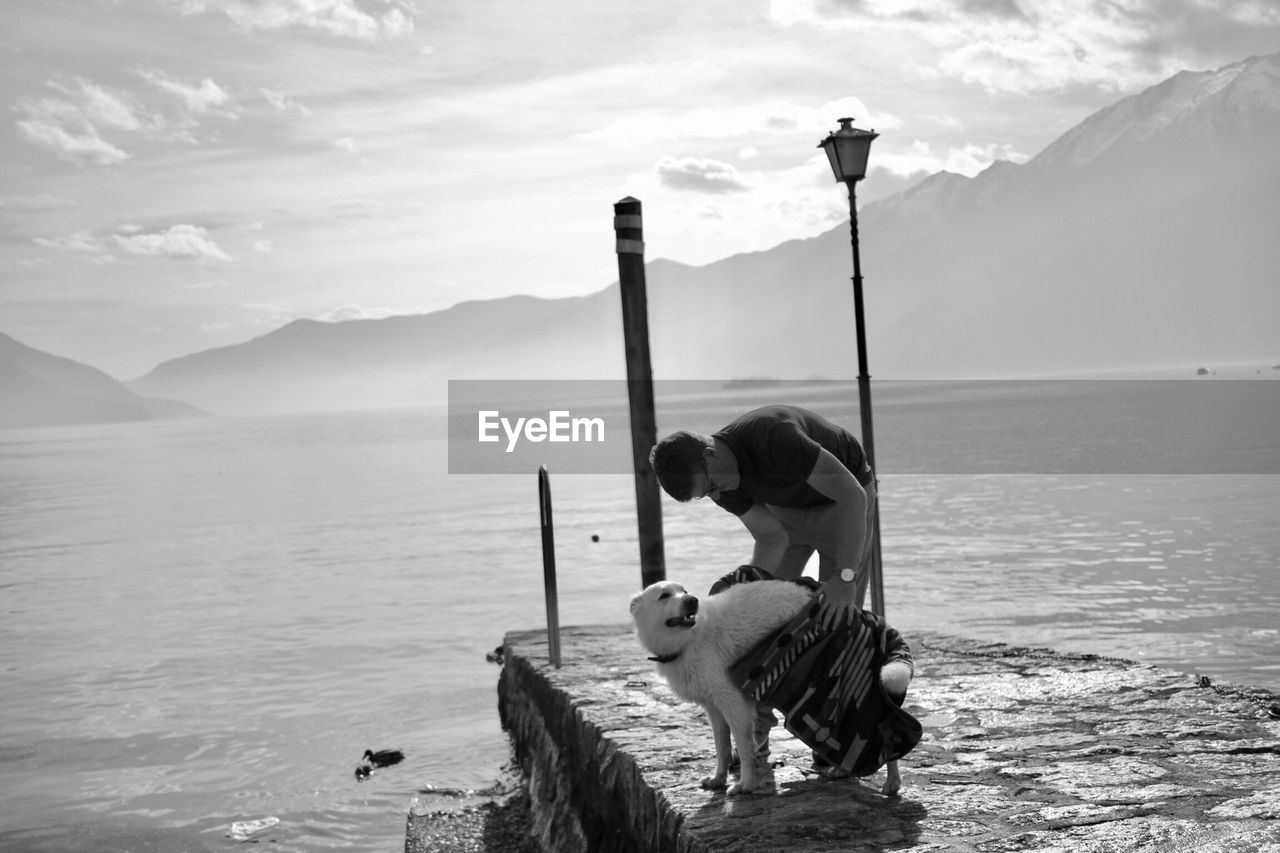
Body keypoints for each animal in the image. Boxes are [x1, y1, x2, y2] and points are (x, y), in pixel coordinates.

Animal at [627, 573, 808, 794]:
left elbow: (744, 747)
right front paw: (718, 779)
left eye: (684, 591)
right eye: (664, 595)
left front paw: (746, 784)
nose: (692, 600)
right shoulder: (713, 707)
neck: (688, 641)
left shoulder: (733, 702)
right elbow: (721, 747)